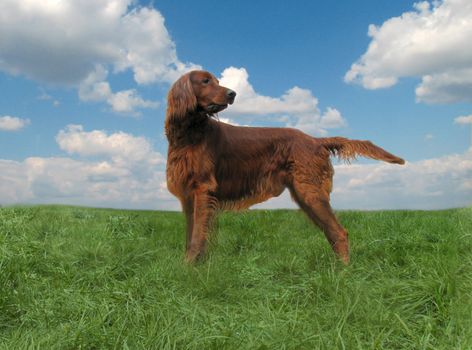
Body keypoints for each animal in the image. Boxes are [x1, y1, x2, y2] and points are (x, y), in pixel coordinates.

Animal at [164, 70, 404, 262]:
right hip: (305, 194)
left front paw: (188, 268)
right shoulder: (190, 196)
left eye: (217, 81)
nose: (233, 93)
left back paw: (343, 273)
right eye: (205, 81)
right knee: (332, 233)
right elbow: (192, 236)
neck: (189, 133)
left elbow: (197, 237)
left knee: (340, 233)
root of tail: (315, 140)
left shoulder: (203, 189)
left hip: (310, 191)